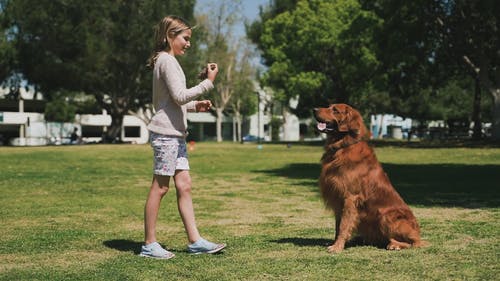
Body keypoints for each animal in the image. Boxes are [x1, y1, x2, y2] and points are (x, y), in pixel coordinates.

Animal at [314, 103, 424, 252]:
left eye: (335, 110)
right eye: (329, 106)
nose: (314, 110)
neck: (343, 146)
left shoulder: (350, 197)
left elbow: (344, 225)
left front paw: (337, 247)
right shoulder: (338, 199)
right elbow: (338, 225)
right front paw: (336, 242)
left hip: (386, 216)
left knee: (415, 242)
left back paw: (395, 244)